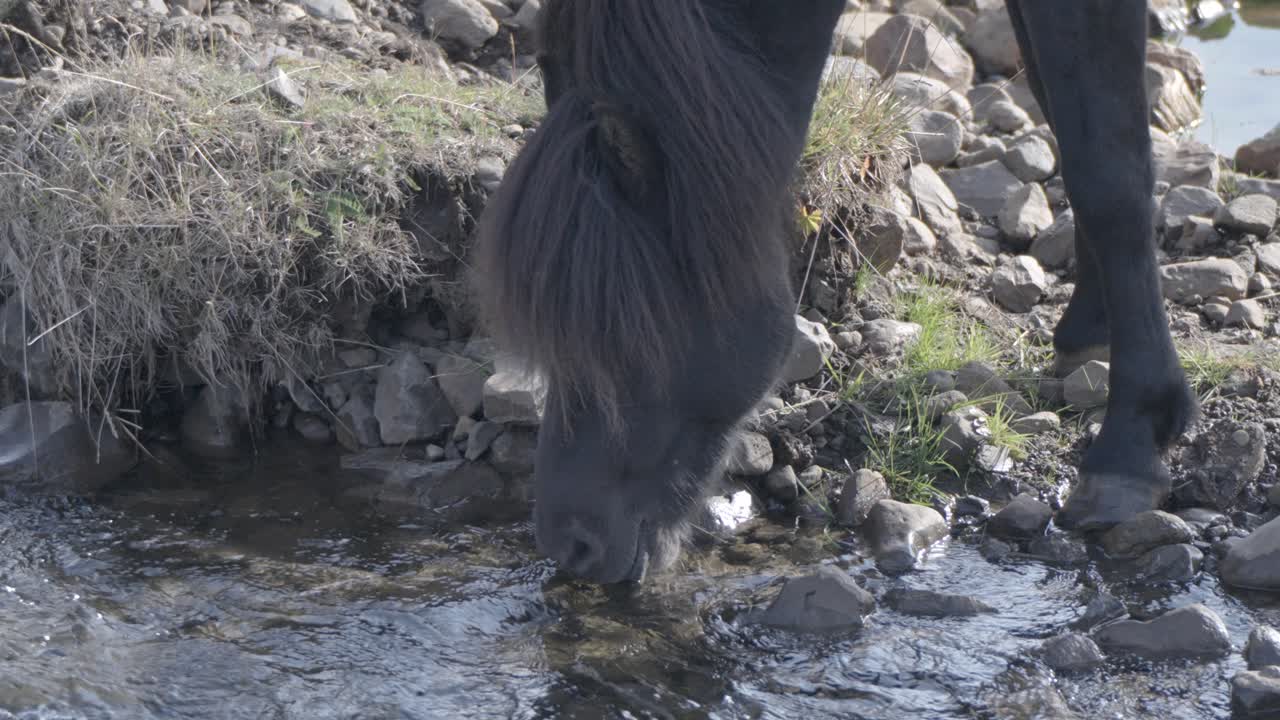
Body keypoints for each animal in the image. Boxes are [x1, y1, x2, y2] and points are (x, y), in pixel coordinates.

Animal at [471, 0, 1199, 585]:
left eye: (625, 343)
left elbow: (1108, 166)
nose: (570, 546)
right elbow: (1062, 113)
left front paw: (1133, 440)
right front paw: (1089, 328)